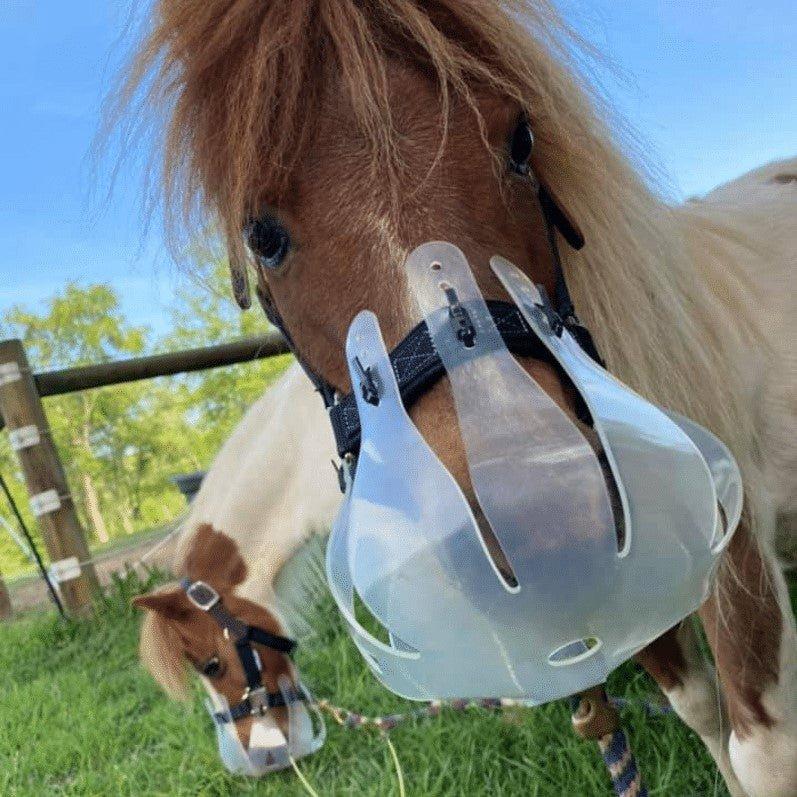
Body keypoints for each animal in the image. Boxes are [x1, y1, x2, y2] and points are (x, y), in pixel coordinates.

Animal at [119, 3, 796, 792]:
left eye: (522, 139)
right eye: (261, 234)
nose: (261, 756)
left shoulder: (736, 561)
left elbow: (757, 751)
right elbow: (693, 706)